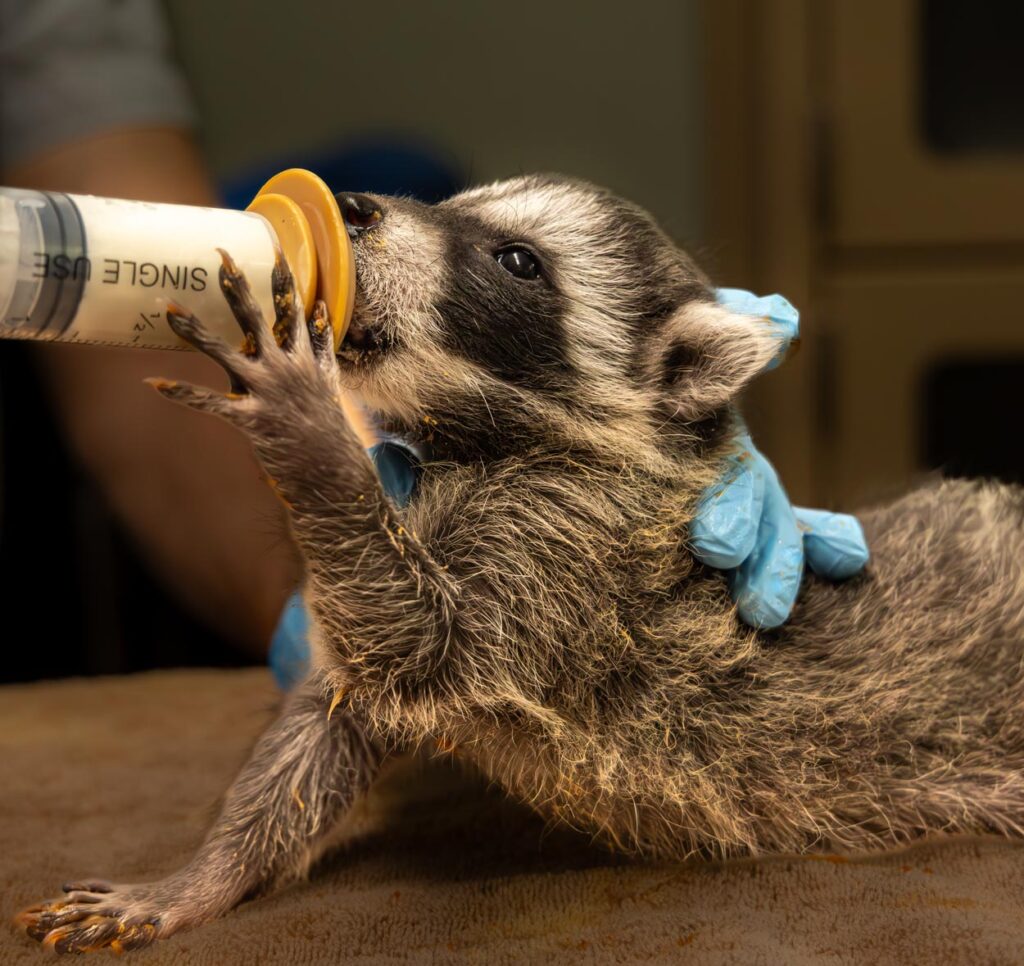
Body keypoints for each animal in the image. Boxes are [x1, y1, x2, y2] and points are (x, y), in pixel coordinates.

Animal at [19, 174, 1024, 950]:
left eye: (515, 261)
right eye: (450, 207)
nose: (351, 206)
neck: (474, 440)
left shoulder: (573, 551)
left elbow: (423, 647)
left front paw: (309, 435)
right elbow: (332, 718)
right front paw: (202, 878)